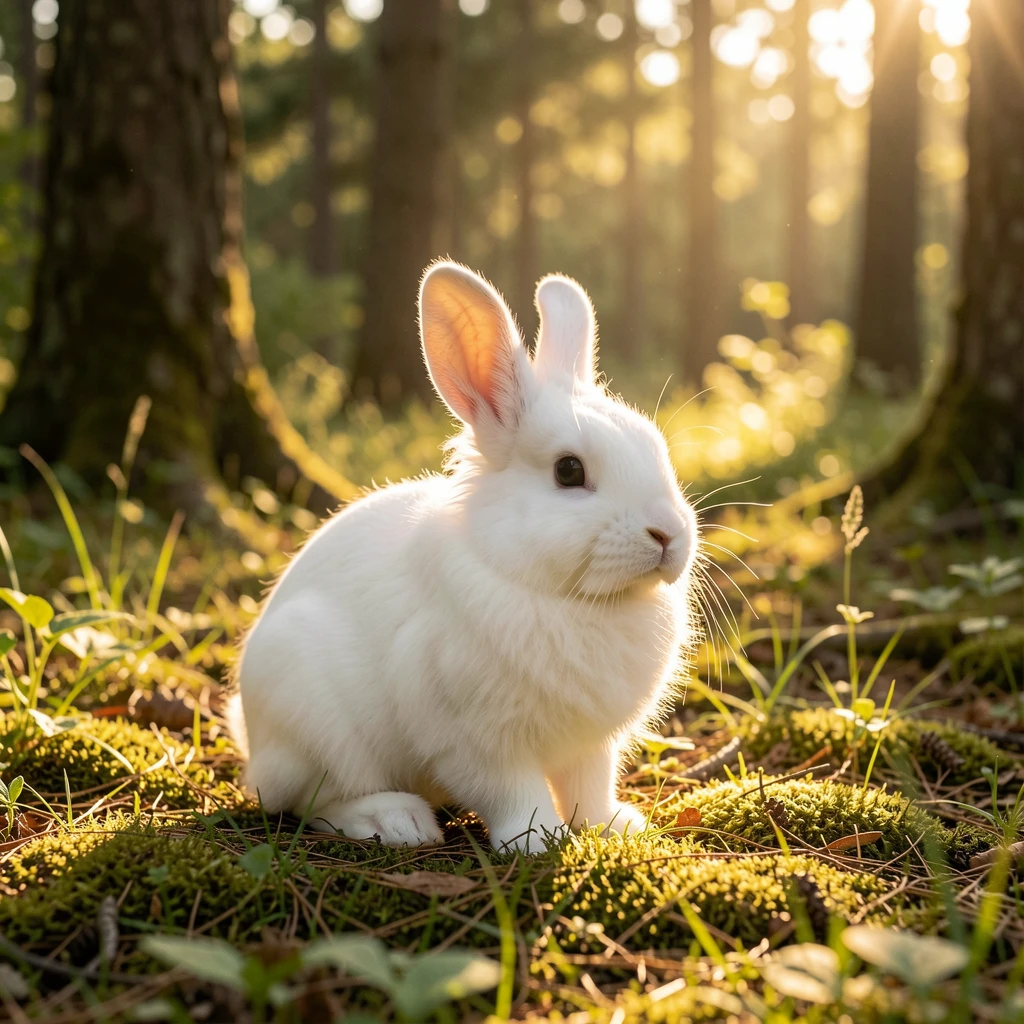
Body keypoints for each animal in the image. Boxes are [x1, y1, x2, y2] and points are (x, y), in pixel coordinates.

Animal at [232, 261, 699, 852]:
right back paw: (396, 821)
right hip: (314, 722)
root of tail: (251, 737)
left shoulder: (590, 745)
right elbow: (511, 792)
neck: (568, 597)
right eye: (569, 471)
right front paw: (537, 840)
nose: (668, 535)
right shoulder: (477, 741)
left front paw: (612, 826)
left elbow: (589, 786)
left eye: (656, 448)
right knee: (309, 800)